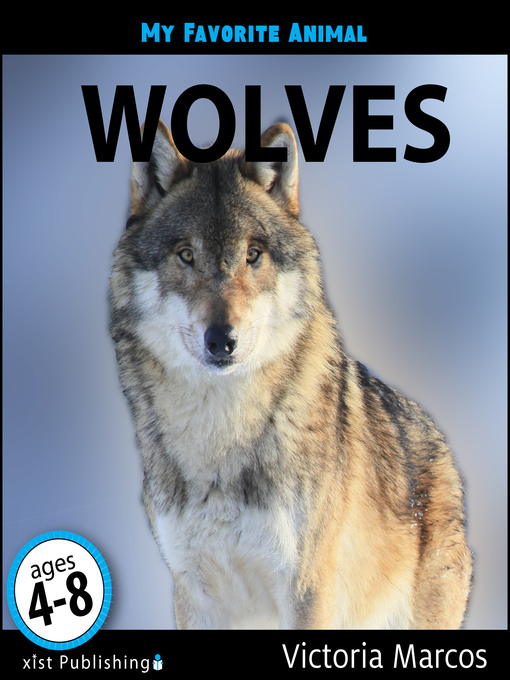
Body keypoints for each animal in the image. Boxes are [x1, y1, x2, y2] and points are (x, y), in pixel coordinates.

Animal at [109, 120, 472, 629]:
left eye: (253, 254)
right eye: (185, 255)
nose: (222, 340)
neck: (220, 434)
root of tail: (439, 441)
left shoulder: (306, 587)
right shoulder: (193, 594)